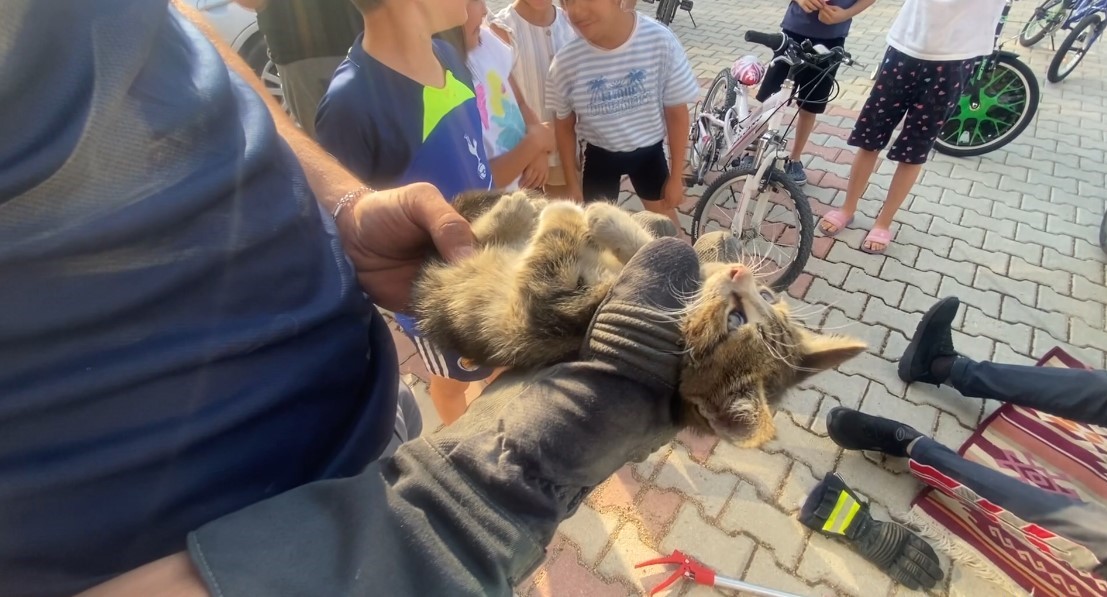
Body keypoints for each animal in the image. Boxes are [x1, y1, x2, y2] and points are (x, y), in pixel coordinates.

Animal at [411, 191, 867, 447]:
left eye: (735, 321)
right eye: (767, 296)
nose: (740, 272)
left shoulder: (542, 312)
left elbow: (558, 254)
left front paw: (582, 213)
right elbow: (654, 246)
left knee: (472, 240)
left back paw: (519, 210)